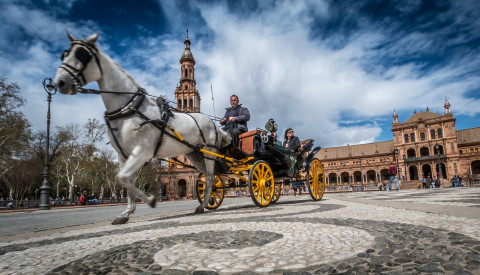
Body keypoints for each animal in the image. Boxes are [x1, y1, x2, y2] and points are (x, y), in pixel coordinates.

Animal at [54, 31, 231, 225]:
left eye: (82, 55)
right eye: (64, 54)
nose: (60, 82)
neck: (128, 107)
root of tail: (213, 124)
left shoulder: (143, 150)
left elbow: (123, 178)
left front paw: (150, 200)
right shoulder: (124, 155)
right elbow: (126, 180)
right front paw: (127, 212)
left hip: (209, 152)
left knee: (210, 177)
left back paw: (203, 205)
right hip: (196, 154)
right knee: (208, 177)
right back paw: (207, 202)